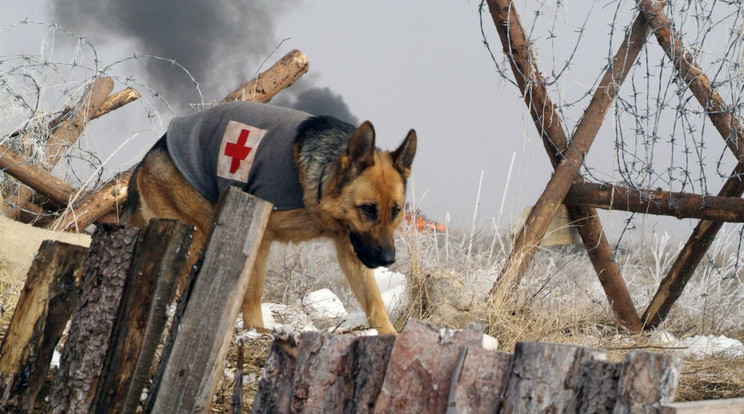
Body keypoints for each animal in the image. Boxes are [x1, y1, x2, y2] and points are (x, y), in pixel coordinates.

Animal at [119, 101, 416, 336]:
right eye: (368, 209)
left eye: (395, 211)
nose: (389, 259)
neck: (322, 179)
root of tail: (149, 156)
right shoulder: (261, 237)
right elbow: (253, 291)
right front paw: (255, 331)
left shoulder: (350, 249)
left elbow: (374, 302)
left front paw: (391, 336)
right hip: (198, 232)